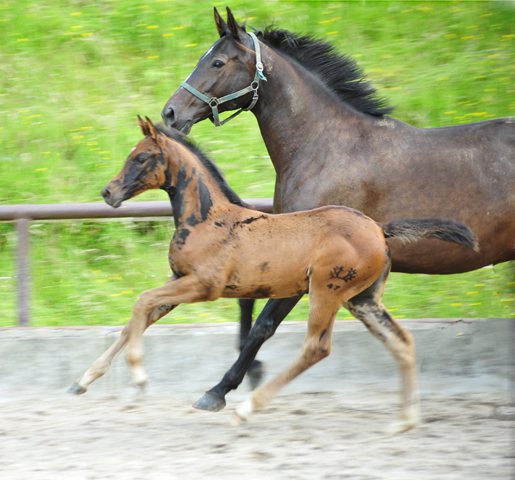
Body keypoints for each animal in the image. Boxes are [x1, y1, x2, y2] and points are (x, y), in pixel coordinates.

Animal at [70, 118, 478, 434]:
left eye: (140, 157)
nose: (108, 192)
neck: (206, 219)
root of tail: (380, 229)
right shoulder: (178, 280)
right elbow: (137, 317)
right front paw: (82, 381)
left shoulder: (203, 286)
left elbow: (142, 304)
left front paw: (139, 378)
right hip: (362, 300)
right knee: (401, 341)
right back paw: (405, 421)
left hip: (326, 290)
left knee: (316, 348)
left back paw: (244, 408)